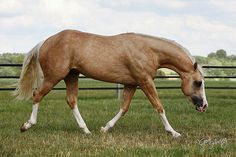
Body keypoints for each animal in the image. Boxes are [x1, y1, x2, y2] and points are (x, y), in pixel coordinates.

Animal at [13, 29, 207, 137]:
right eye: (198, 82)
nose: (204, 106)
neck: (147, 50)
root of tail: (44, 42)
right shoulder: (145, 81)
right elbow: (159, 106)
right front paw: (174, 133)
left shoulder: (131, 84)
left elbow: (124, 108)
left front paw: (105, 128)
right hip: (54, 76)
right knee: (37, 95)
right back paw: (26, 126)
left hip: (71, 76)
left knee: (71, 100)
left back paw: (86, 131)